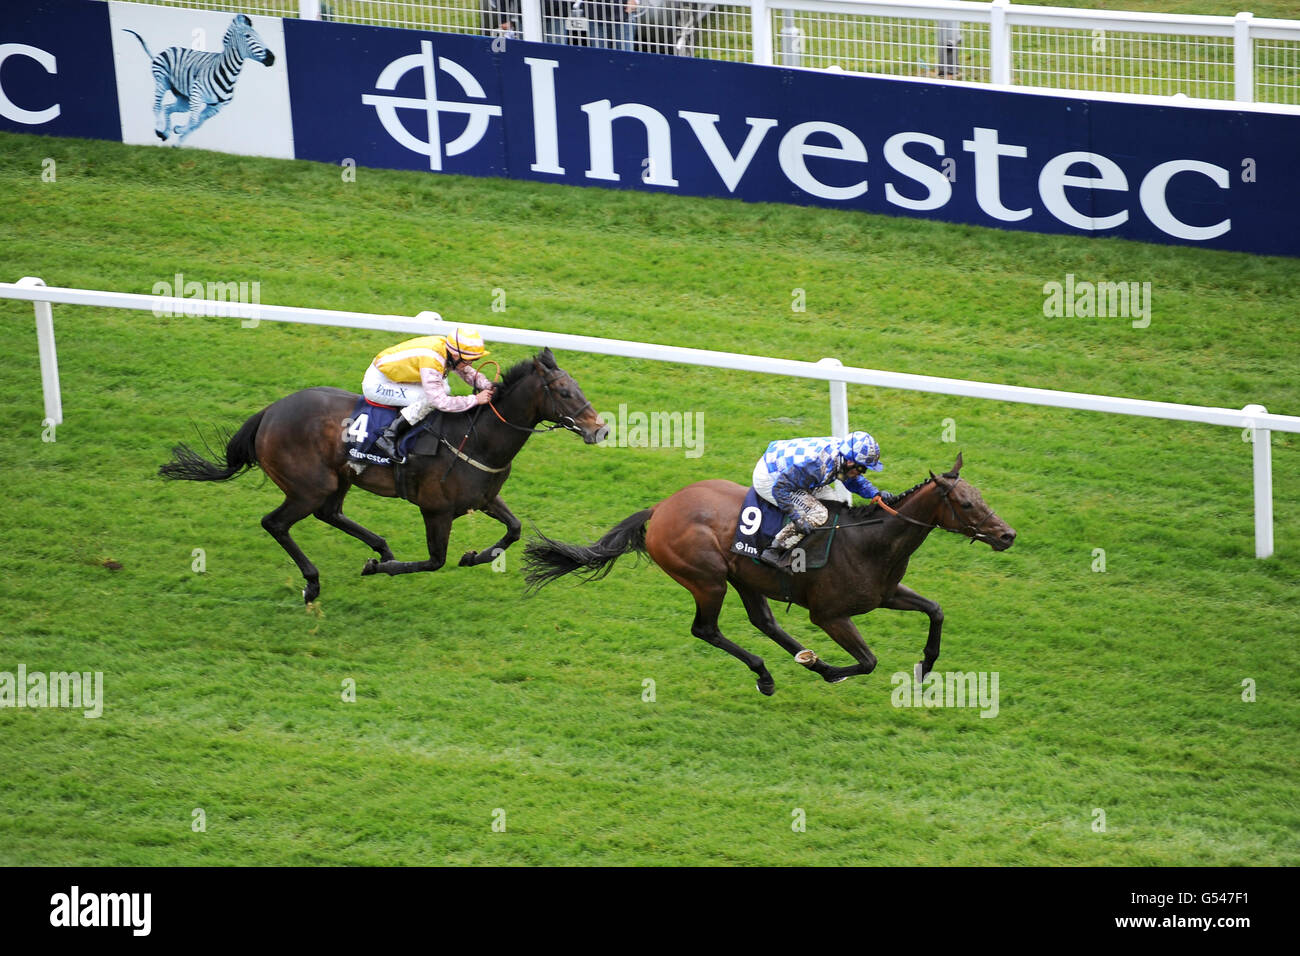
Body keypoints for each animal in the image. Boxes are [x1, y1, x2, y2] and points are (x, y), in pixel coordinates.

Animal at [161, 351, 603, 600]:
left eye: (578, 387)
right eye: (565, 393)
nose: (600, 429)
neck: (477, 438)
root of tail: (269, 412)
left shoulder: (484, 498)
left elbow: (513, 530)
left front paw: (473, 555)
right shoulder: (436, 510)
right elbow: (434, 561)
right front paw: (379, 569)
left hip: (336, 478)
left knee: (330, 513)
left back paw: (382, 548)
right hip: (308, 486)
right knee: (276, 523)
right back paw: (315, 581)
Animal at [525, 455, 1013, 697]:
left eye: (982, 497)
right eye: (965, 504)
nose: (1007, 535)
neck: (869, 541)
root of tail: (661, 507)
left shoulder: (885, 593)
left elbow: (936, 610)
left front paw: (926, 665)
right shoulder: (829, 615)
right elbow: (868, 660)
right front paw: (834, 670)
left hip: (744, 578)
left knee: (764, 621)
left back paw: (806, 660)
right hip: (707, 578)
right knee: (706, 629)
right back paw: (770, 674)